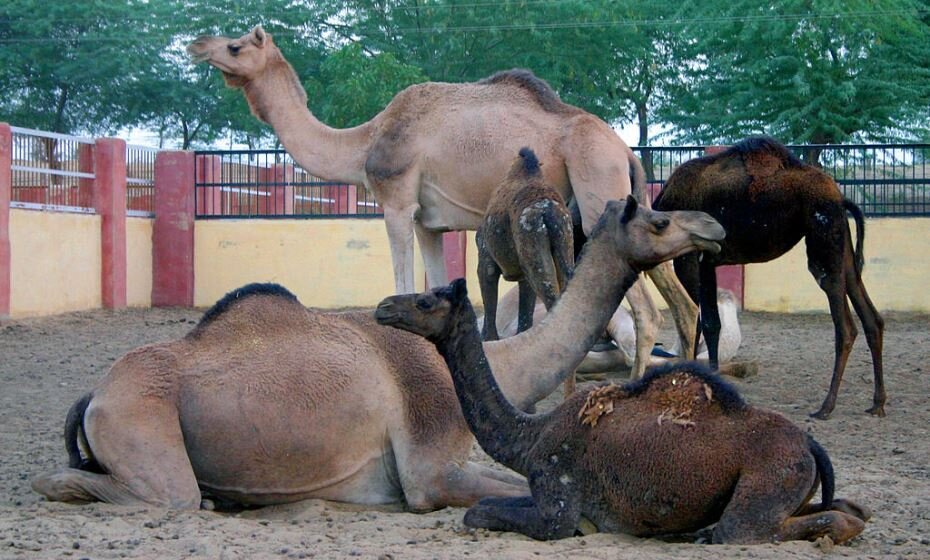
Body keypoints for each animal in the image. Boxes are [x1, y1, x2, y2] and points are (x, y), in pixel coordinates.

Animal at [32, 198, 720, 512]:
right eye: (658, 220)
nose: (713, 226)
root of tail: (95, 394)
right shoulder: (426, 471)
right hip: (142, 425)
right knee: (141, 492)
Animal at [185, 24, 700, 378]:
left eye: (235, 46)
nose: (196, 44)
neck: (365, 142)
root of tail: (624, 149)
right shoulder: (428, 222)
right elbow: (433, 282)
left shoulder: (395, 204)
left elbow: (399, 278)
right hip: (629, 202)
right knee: (681, 301)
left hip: (596, 192)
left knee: (646, 311)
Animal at [652, 137, 884, 420]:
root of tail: (841, 198)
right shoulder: (708, 262)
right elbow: (706, 321)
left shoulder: (694, 258)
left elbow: (706, 322)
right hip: (843, 249)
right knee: (872, 318)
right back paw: (877, 403)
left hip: (824, 242)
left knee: (846, 328)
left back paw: (826, 407)